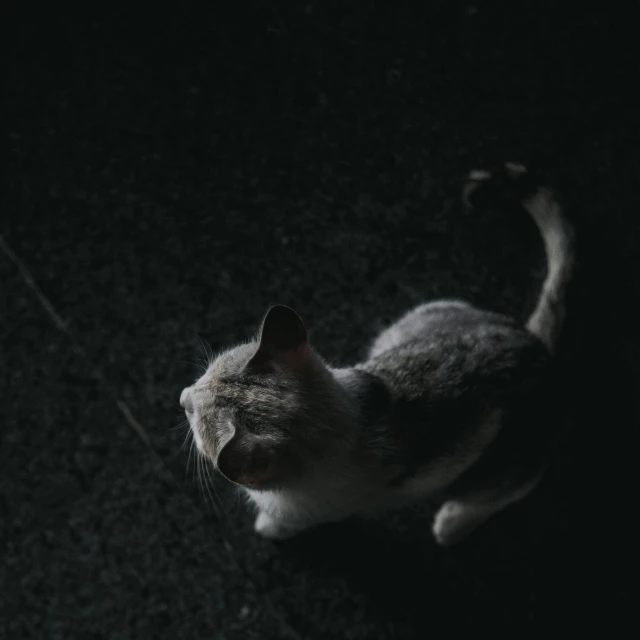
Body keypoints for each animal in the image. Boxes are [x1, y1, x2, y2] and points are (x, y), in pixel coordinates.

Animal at [179, 164, 576, 544]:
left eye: (195, 418)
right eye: (204, 376)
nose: (181, 396)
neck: (356, 430)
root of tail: (535, 344)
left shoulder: (308, 512)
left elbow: (283, 522)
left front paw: (268, 528)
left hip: (520, 454)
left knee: (509, 488)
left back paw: (455, 519)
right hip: (413, 320)